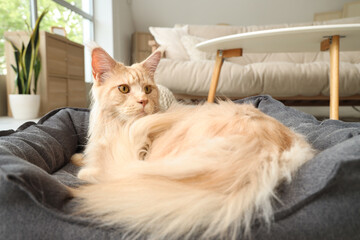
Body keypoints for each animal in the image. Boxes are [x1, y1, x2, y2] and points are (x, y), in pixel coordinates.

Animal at [72, 47, 316, 240]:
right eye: (124, 89)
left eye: (148, 89)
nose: (143, 101)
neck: (118, 128)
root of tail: (267, 148)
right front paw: (78, 158)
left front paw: (84, 168)